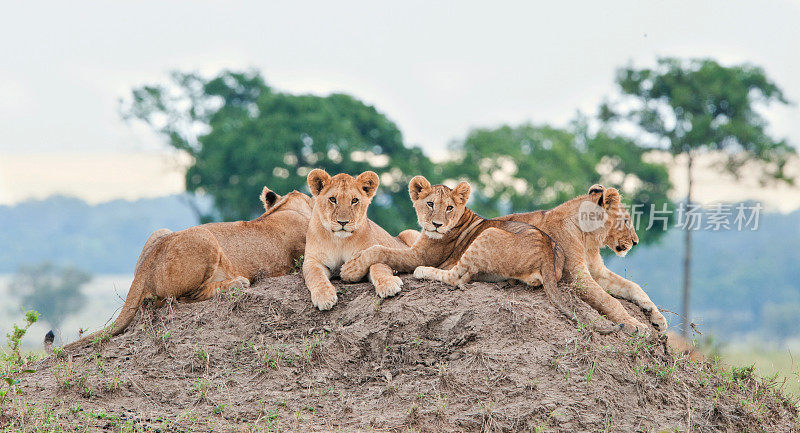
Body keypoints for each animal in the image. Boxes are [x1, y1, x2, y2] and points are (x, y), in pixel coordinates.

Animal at [63, 186, 312, 348]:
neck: (287, 207)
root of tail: (146, 268)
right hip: (205, 237)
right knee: (183, 297)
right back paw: (237, 283)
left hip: (161, 232)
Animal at [304, 169, 422, 310]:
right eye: (332, 199)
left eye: (354, 200)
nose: (343, 222)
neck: (339, 241)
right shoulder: (312, 260)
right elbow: (315, 275)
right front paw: (324, 296)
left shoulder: (369, 252)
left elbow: (378, 266)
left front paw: (388, 284)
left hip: (410, 233)